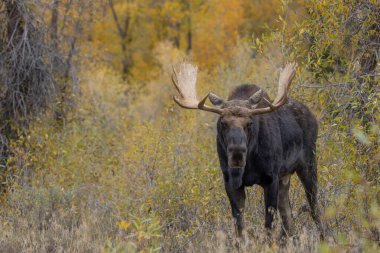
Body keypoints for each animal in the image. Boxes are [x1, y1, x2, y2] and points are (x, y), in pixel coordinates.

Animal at [171, 62, 326, 238]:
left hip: (308, 165)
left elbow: (268, 224)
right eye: (222, 122)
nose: (237, 153)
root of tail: (312, 117)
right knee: (288, 218)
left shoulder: (271, 178)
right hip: (285, 177)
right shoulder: (230, 181)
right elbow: (239, 225)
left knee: (315, 208)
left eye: (250, 123)